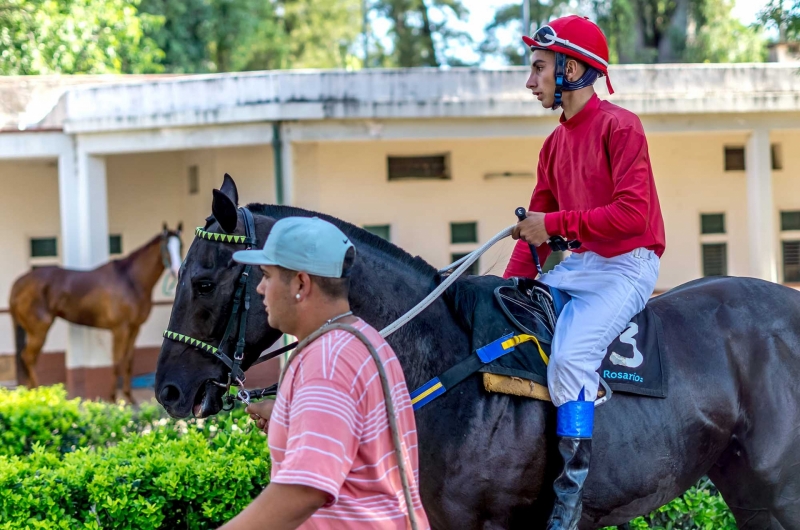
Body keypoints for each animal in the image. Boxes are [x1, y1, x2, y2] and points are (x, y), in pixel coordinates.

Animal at [10, 223, 183, 400]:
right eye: (166, 247)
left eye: (181, 246)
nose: (177, 270)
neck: (130, 280)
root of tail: (19, 283)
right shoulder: (120, 329)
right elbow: (117, 361)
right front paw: (113, 398)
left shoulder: (135, 328)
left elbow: (128, 362)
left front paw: (129, 397)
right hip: (39, 331)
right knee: (28, 358)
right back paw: (39, 395)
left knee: (28, 358)